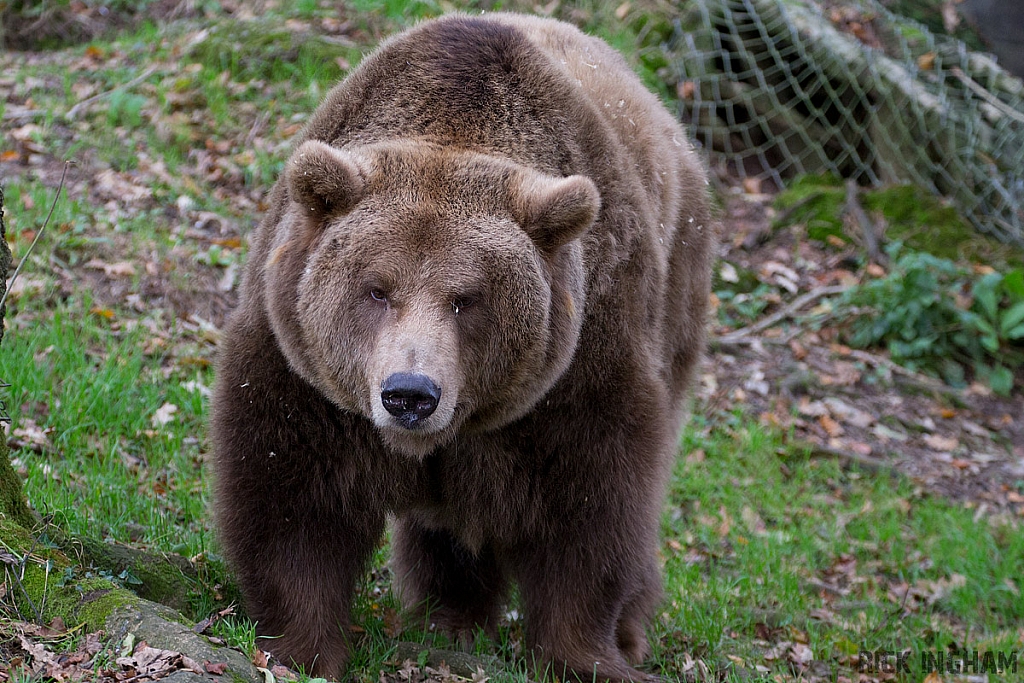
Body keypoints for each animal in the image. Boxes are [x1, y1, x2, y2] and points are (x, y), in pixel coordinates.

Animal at [210, 12, 712, 683]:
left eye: (466, 298)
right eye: (377, 289)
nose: (409, 394)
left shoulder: (577, 366)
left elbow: (590, 506)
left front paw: (589, 657)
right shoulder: (301, 357)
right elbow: (293, 494)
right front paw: (302, 646)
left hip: (678, 294)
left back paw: (623, 630)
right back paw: (448, 616)